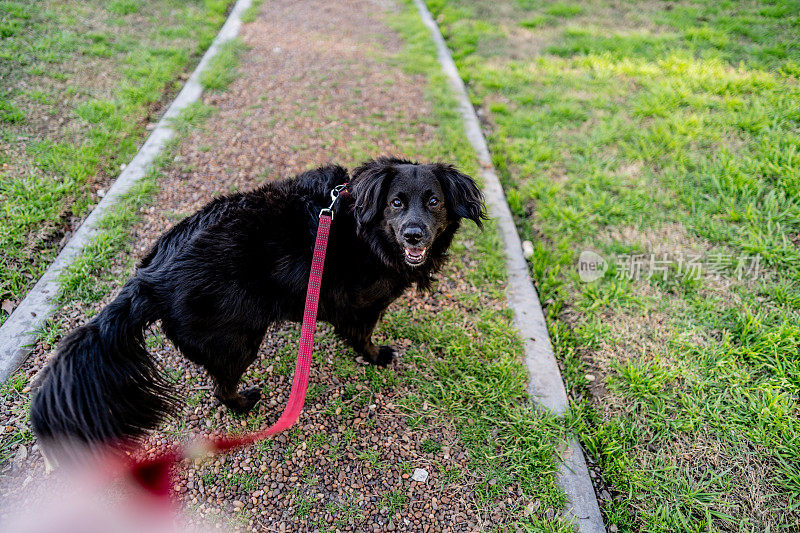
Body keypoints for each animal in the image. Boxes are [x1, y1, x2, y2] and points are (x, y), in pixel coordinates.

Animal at [29, 157, 482, 454]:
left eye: (434, 202)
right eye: (396, 203)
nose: (414, 235)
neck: (363, 227)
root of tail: (148, 279)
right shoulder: (360, 306)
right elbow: (363, 337)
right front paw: (376, 356)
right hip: (238, 340)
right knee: (220, 386)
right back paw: (245, 403)